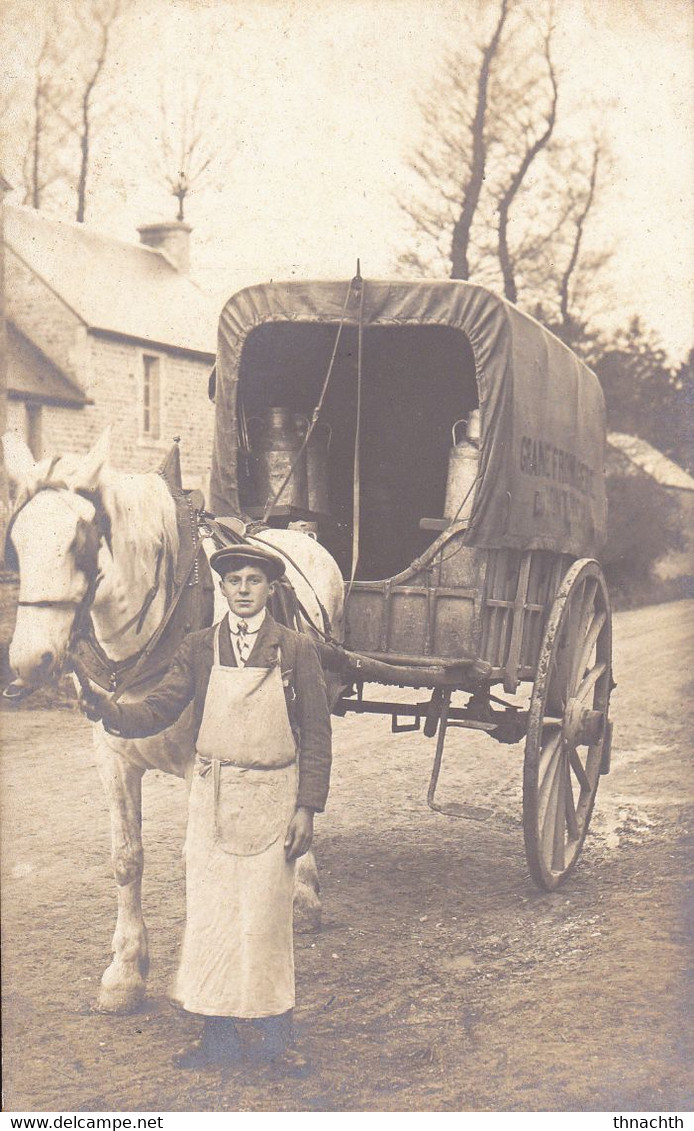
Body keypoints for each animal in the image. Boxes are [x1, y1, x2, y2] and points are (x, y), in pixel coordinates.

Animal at [2, 432, 345, 1017]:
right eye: (17, 542)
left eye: (79, 543)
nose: (29, 662)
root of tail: (299, 534)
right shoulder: (113, 758)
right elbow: (126, 858)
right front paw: (124, 973)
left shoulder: (200, 762)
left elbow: (197, 857)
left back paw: (302, 891)